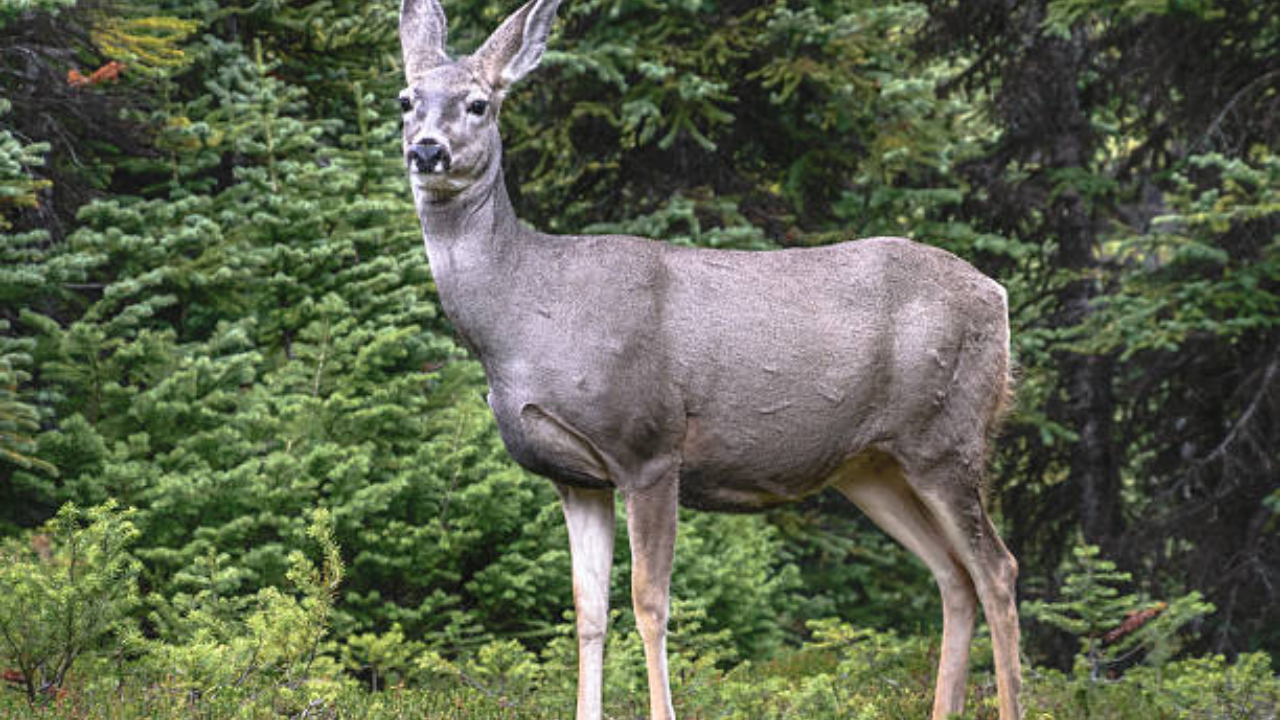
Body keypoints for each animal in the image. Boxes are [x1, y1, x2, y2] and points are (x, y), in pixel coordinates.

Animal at [398, 0, 1023, 718]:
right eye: (406, 100)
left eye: (479, 103)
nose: (426, 149)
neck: (527, 315)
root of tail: (999, 297)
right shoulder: (576, 477)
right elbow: (587, 611)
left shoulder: (648, 445)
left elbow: (650, 603)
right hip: (874, 466)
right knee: (952, 575)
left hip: (947, 436)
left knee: (997, 569)